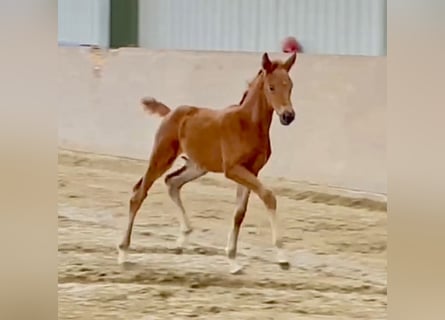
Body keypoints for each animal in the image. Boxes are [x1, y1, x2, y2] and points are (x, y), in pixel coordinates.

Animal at [118, 52, 296, 272]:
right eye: (271, 87)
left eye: (290, 85)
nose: (288, 116)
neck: (248, 124)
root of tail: (170, 113)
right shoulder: (233, 169)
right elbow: (268, 196)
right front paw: (282, 257)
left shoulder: (252, 171)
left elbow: (239, 213)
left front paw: (233, 260)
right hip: (161, 157)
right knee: (139, 194)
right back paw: (123, 253)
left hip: (197, 166)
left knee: (172, 182)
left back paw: (183, 239)